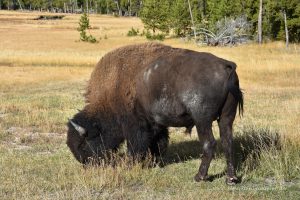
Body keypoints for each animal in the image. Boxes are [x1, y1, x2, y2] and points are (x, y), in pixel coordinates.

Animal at [67, 43, 243, 185]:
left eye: (83, 143)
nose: (86, 164)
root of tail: (226, 66)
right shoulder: (156, 124)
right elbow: (158, 143)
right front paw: (155, 162)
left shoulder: (136, 126)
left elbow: (136, 148)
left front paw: (131, 165)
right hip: (226, 118)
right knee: (227, 142)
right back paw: (231, 179)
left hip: (202, 120)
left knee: (209, 144)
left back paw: (199, 177)